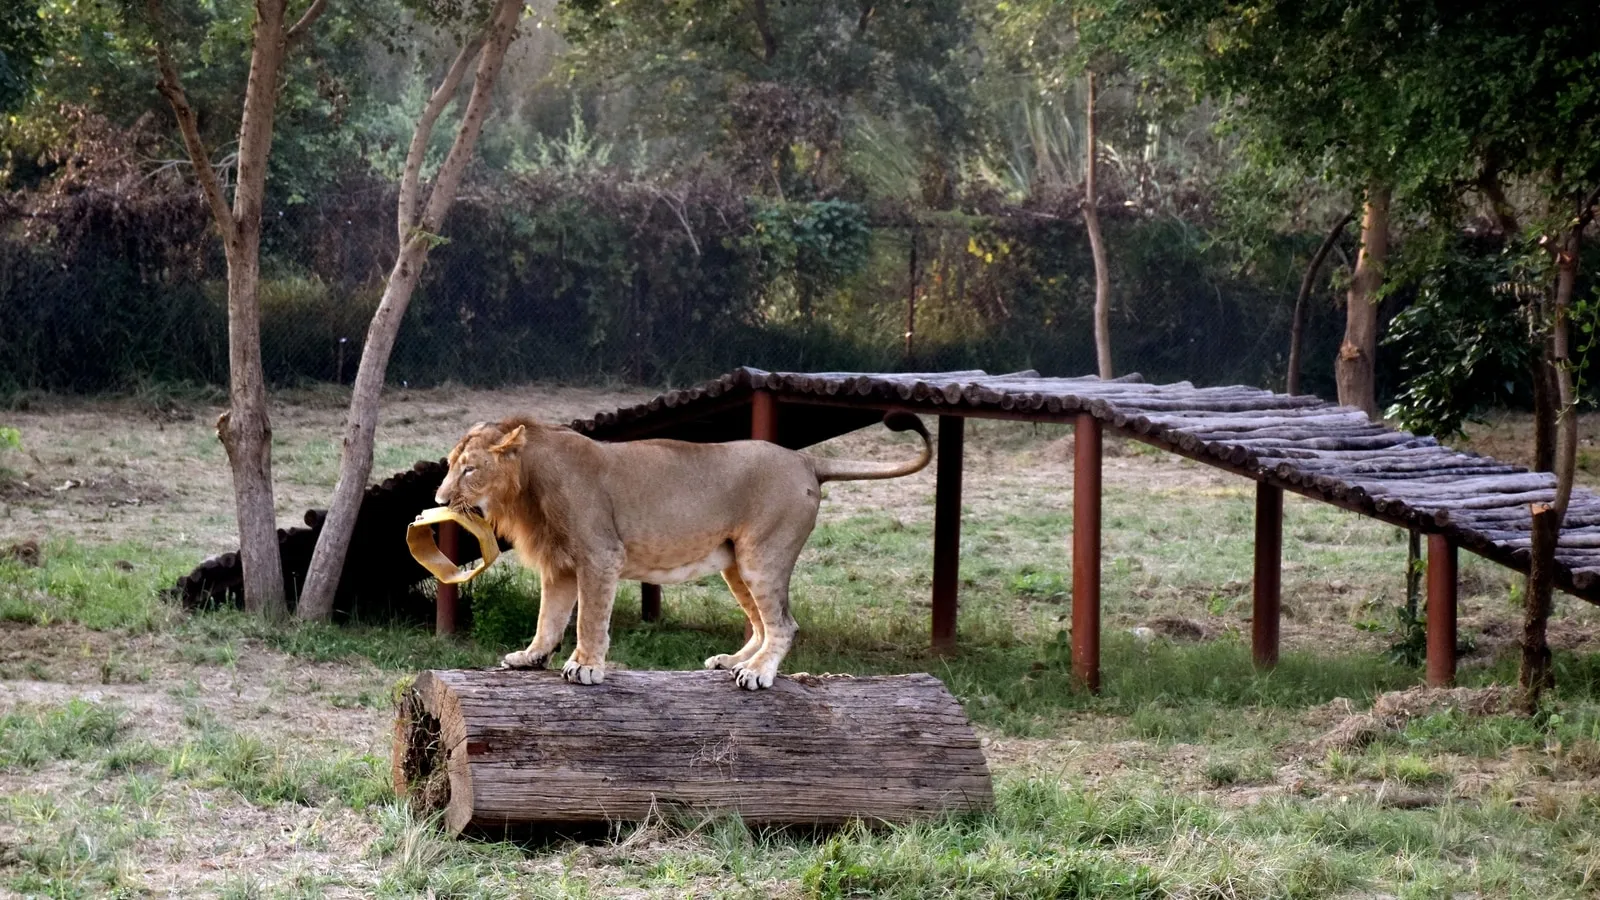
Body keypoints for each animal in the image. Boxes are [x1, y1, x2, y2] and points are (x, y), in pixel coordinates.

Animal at [435, 409, 934, 688]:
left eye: (470, 470)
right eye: (450, 465)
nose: (438, 500)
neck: (527, 485)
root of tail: (804, 458)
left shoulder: (599, 555)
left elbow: (590, 620)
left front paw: (586, 666)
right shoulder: (560, 564)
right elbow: (549, 618)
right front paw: (531, 657)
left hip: (762, 555)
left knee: (784, 624)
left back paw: (758, 674)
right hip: (736, 564)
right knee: (762, 623)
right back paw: (733, 662)